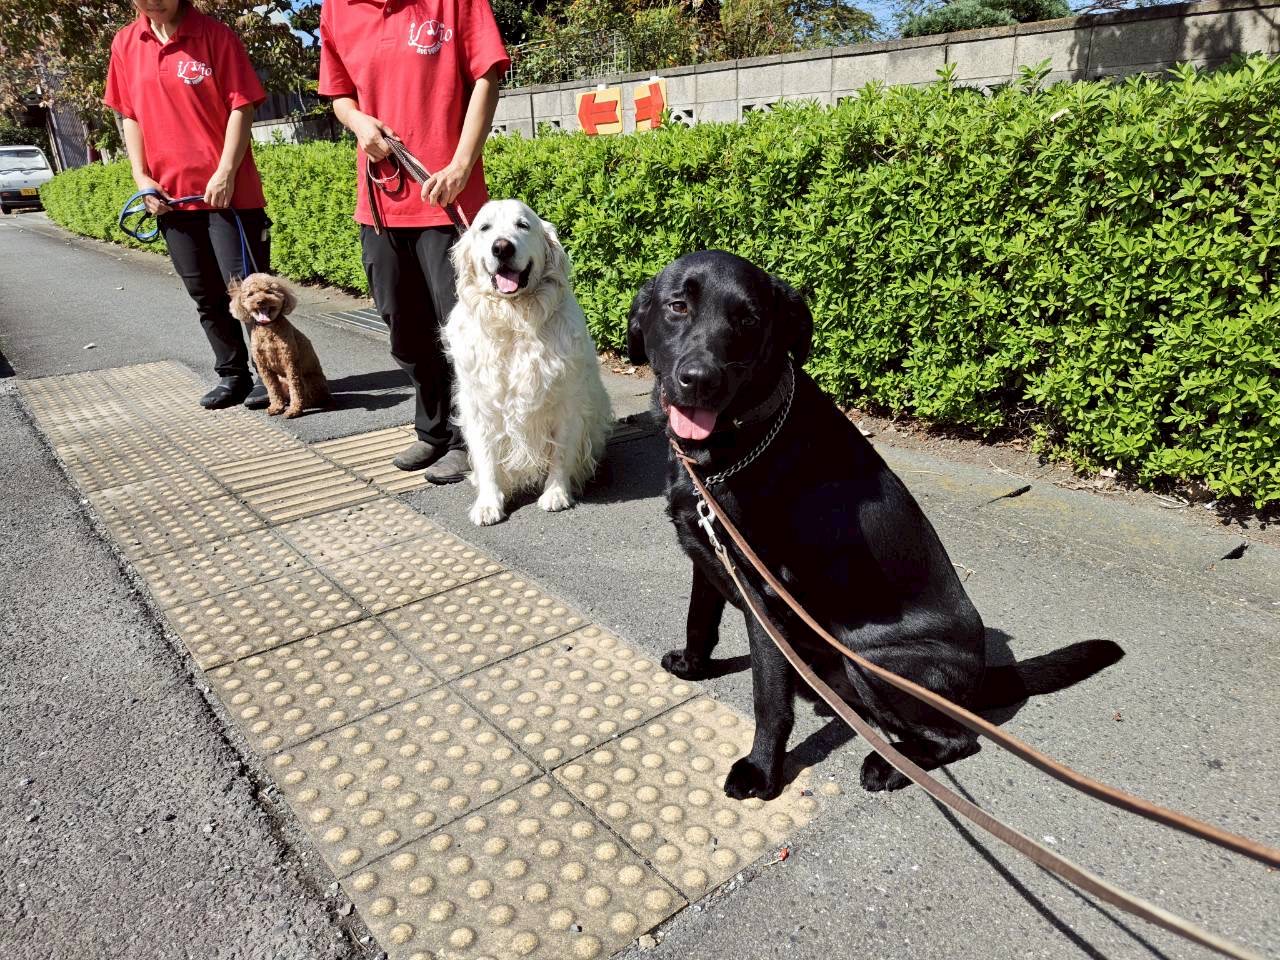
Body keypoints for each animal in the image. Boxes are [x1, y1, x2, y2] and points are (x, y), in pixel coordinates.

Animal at [228, 273, 331, 418]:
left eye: (269, 291)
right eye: (250, 294)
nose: (260, 301)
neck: (268, 329)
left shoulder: (290, 362)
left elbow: (295, 388)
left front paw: (294, 410)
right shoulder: (264, 367)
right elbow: (272, 388)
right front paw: (276, 407)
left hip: (309, 381)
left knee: (308, 395)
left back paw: (304, 403)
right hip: (282, 379)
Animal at [443, 199, 614, 526]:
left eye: (523, 225)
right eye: (485, 227)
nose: (502, 247)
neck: (514, 320)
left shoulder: (567, 400)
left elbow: (561, 452)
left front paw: (556, 493)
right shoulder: (479, 404)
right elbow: (486, 456)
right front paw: (488, 503)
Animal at [627, 251, 1123, 801]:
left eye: (748, 321)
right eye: (677, 306)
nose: (700, 378)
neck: (735, 447)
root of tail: (979, 679)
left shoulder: (765, 596)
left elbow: (769, 699)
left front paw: (761, 770)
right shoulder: (709, 554)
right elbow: (700, 620)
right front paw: (692, 667)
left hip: (872, 660)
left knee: (958, 740)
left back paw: (889, 764)